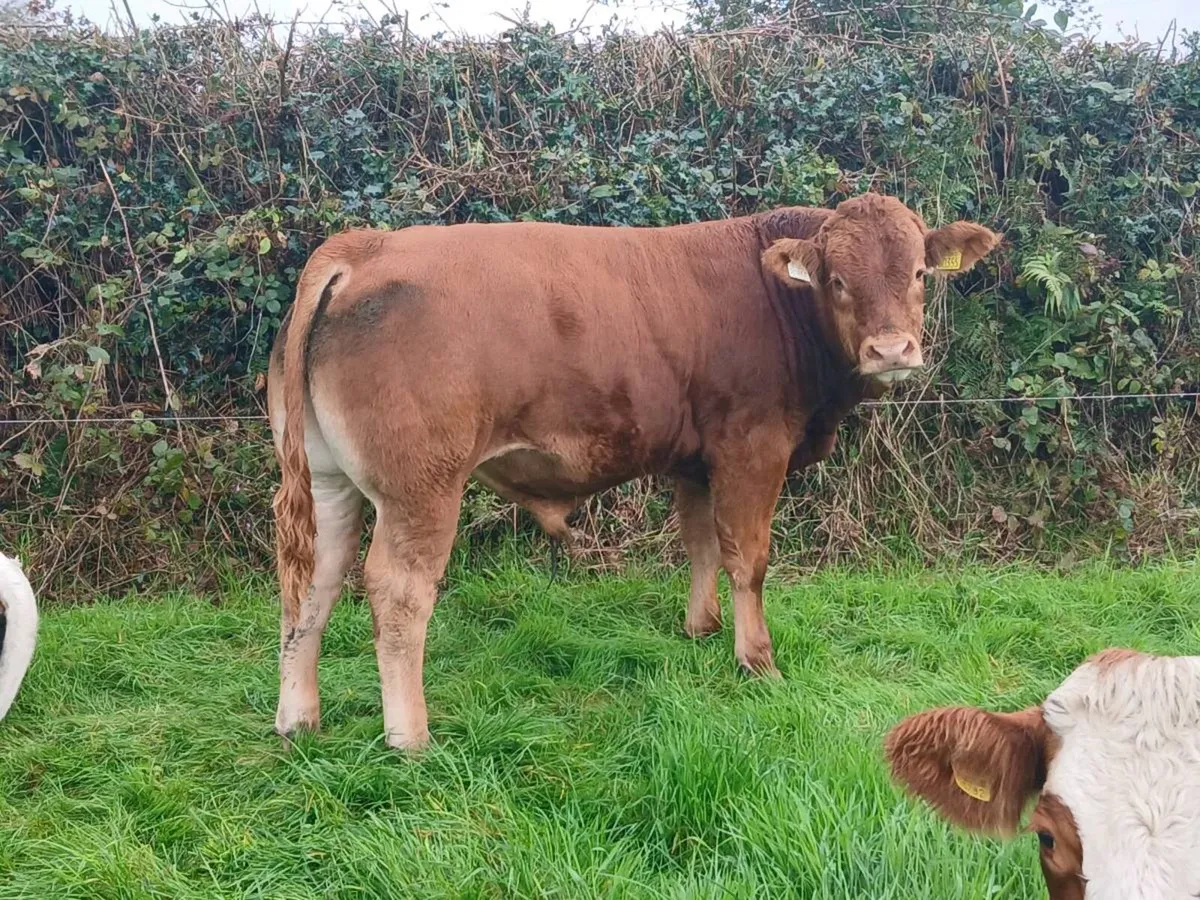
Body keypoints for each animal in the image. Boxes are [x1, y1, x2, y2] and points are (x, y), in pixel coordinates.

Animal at [269, 193, 1001, 750]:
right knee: (398, 591)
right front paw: (757, 661)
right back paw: (410, 738)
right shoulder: (752, 447)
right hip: (421, 487)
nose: (892, 350)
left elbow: (702, 543)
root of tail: (364, 247)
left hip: (330, 482)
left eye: (917, 273)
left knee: (312, 583)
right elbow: (748, 557)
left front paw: (702, 630)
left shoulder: (696, 459)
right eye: (837, 281)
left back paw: (298, 717)